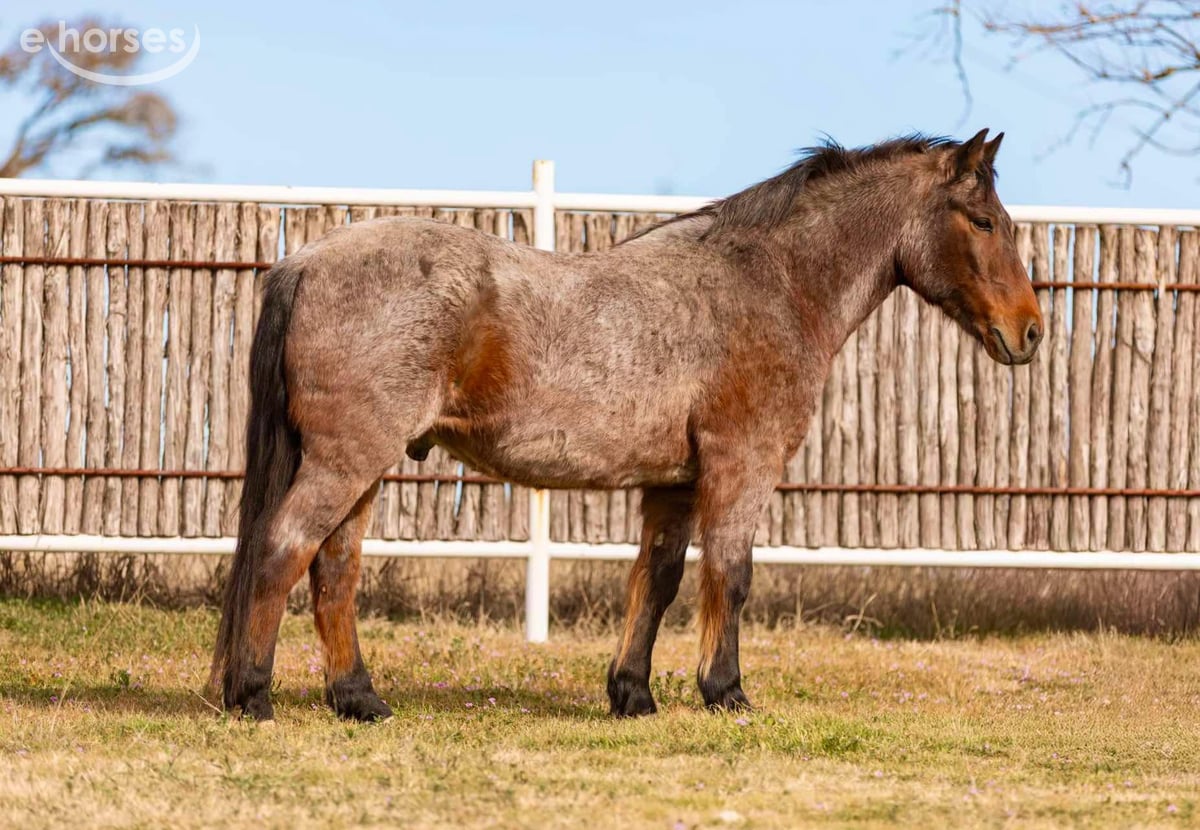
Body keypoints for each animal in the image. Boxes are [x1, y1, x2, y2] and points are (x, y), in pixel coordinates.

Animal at [210, 128, 1042, 721]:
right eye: (982, 221)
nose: (1029, 331)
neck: (769, 284)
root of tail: (304, 262)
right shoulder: (741, 467)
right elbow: (730, 574)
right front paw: (725, 690)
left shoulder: (674, 484)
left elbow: (659, 578)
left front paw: (632, 694)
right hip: (347, 460)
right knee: (284, 549)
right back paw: (252, 695)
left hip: (361, 469)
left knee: (333, 570)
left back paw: (360, 700)